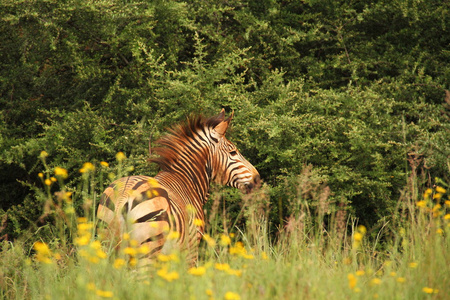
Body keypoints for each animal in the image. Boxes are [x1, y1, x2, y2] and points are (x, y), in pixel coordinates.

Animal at [97, 109, 260, 266]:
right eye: (233, 152)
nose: (257, 179)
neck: (186, 182)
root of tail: (123, 196)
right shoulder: (191, 250)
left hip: (108, 248)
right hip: (148, 250)